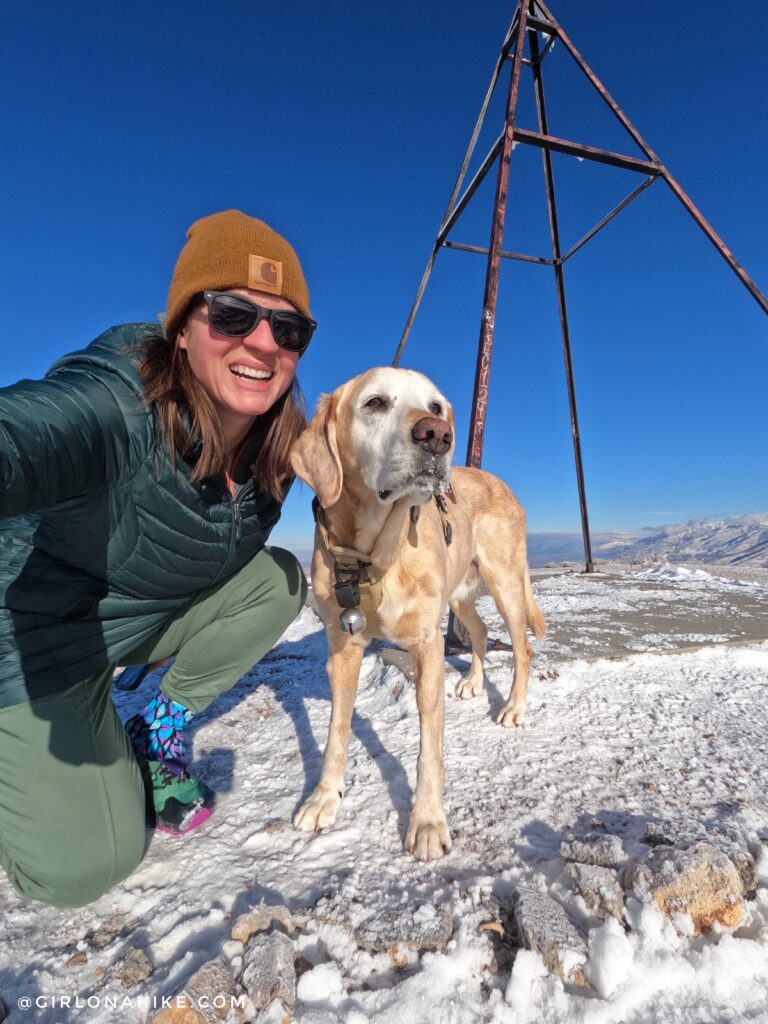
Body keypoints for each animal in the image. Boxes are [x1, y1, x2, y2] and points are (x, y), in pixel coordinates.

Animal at [290, 364, 548, 860]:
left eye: (436, 407)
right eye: (374, 402)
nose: (437, 436)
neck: (374, 555)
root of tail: (501, 483)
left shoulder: (427, 647)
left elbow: (430, 747)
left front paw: (427, 820)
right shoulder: (342, 649)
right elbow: (336, 731)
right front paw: (324, 797)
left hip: (506, 583)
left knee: (522, 647)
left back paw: (513, 707)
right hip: (460, 595)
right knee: (480, 632)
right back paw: (472, 682)